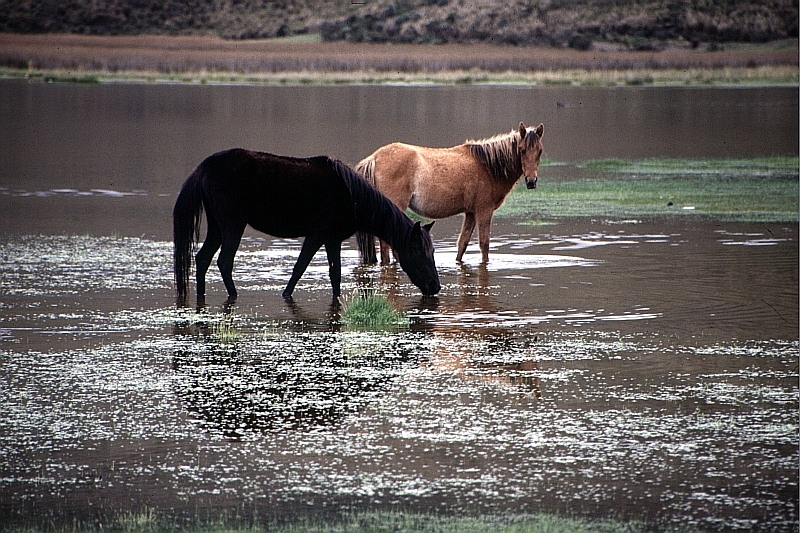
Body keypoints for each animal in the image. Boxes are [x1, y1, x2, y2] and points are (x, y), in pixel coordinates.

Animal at [172, 148, 440, 302]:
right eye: (418, 251)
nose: (434, 287)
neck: (350, 195)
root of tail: (206, 167)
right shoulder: (317, 236)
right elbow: (299, 268)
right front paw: (286, 295)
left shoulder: (332, 240)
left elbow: (335, 274)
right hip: (232, 226)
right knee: (224, 262)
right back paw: (233, 296)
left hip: (217, 227)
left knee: (202, 259)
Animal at [356, 122, 544, 264]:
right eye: (522, 150)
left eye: (540, 151)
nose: (531, 181)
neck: (488, 166)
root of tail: (374, 158)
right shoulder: (484, 210)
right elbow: (484, 244)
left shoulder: (470, 213)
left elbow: (463, 243)